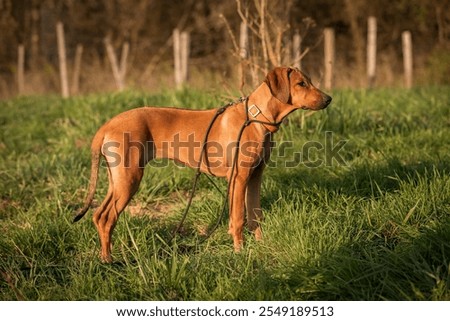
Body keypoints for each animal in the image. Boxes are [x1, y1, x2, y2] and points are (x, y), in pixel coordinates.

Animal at [74, 66, 330, 262]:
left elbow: (254, 215)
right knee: (107, 218)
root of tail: (106, 125)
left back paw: (105, 257)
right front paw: (239, 251)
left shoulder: (255, 176)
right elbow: (239, 217)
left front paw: (261, 245)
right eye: (301, 84)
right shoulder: (239, 177)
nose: (329, 99)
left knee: (99, 215)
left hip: (117, 179)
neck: (256, 117)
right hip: (130, 178)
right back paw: (109, 260)